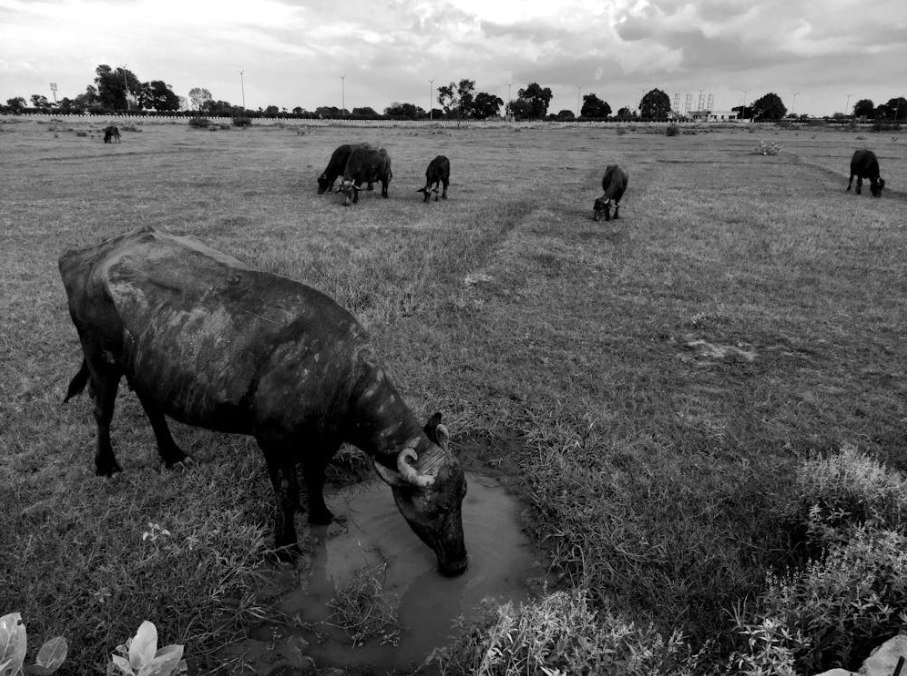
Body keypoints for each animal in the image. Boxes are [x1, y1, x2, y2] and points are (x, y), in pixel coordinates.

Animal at [58, 227, 468, 576]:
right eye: (439, 508)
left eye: (463, 497)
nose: (460, 563)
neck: (339, 377)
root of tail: (86, 256)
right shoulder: (273, 440)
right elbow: (286, 493)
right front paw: (285, 547)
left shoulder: (324, 440)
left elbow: (315, 476)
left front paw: (321, 514)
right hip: (100, 359)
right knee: (102, 408)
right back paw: (107, 465)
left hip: (146, 367)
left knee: (150, 403)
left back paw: (172, 454)